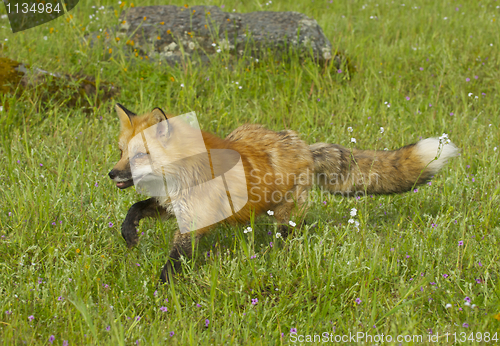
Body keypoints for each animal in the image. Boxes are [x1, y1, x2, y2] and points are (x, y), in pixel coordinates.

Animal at [110, 103, 460, 284]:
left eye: (140, 156)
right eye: (121, 152)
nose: (112, 174)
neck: (183, 171)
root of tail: (304, 145)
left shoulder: (193, 220)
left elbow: (171, 264)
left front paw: (159, 293)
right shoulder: (173, 205)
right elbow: (137, 207)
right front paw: (129, 233)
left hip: (285, 215)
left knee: (286, 237)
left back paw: (274, 258)